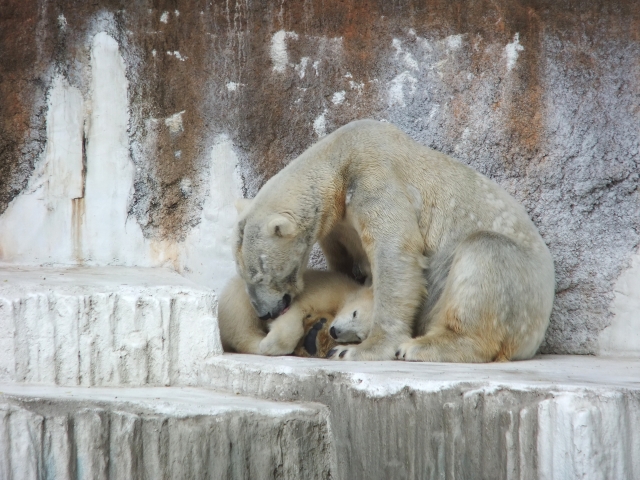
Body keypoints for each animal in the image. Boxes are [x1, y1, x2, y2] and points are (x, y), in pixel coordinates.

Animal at [219, 270, 370, 356]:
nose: (334, 331)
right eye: (354, 313)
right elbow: (296, 309)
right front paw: (269, 345)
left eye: (359, 337)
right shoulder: (327, 290)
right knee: (240, 320)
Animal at [235, 119, 556, 360]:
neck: (339, 158)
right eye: (244, 274)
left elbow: (395, 253)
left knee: (485, 251)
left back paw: (421, 347)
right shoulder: (340, 223)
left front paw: (360, 349)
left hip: (522, 293)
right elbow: (345, 263)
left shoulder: (375, 176)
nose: (265, 312)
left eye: (261, 274)